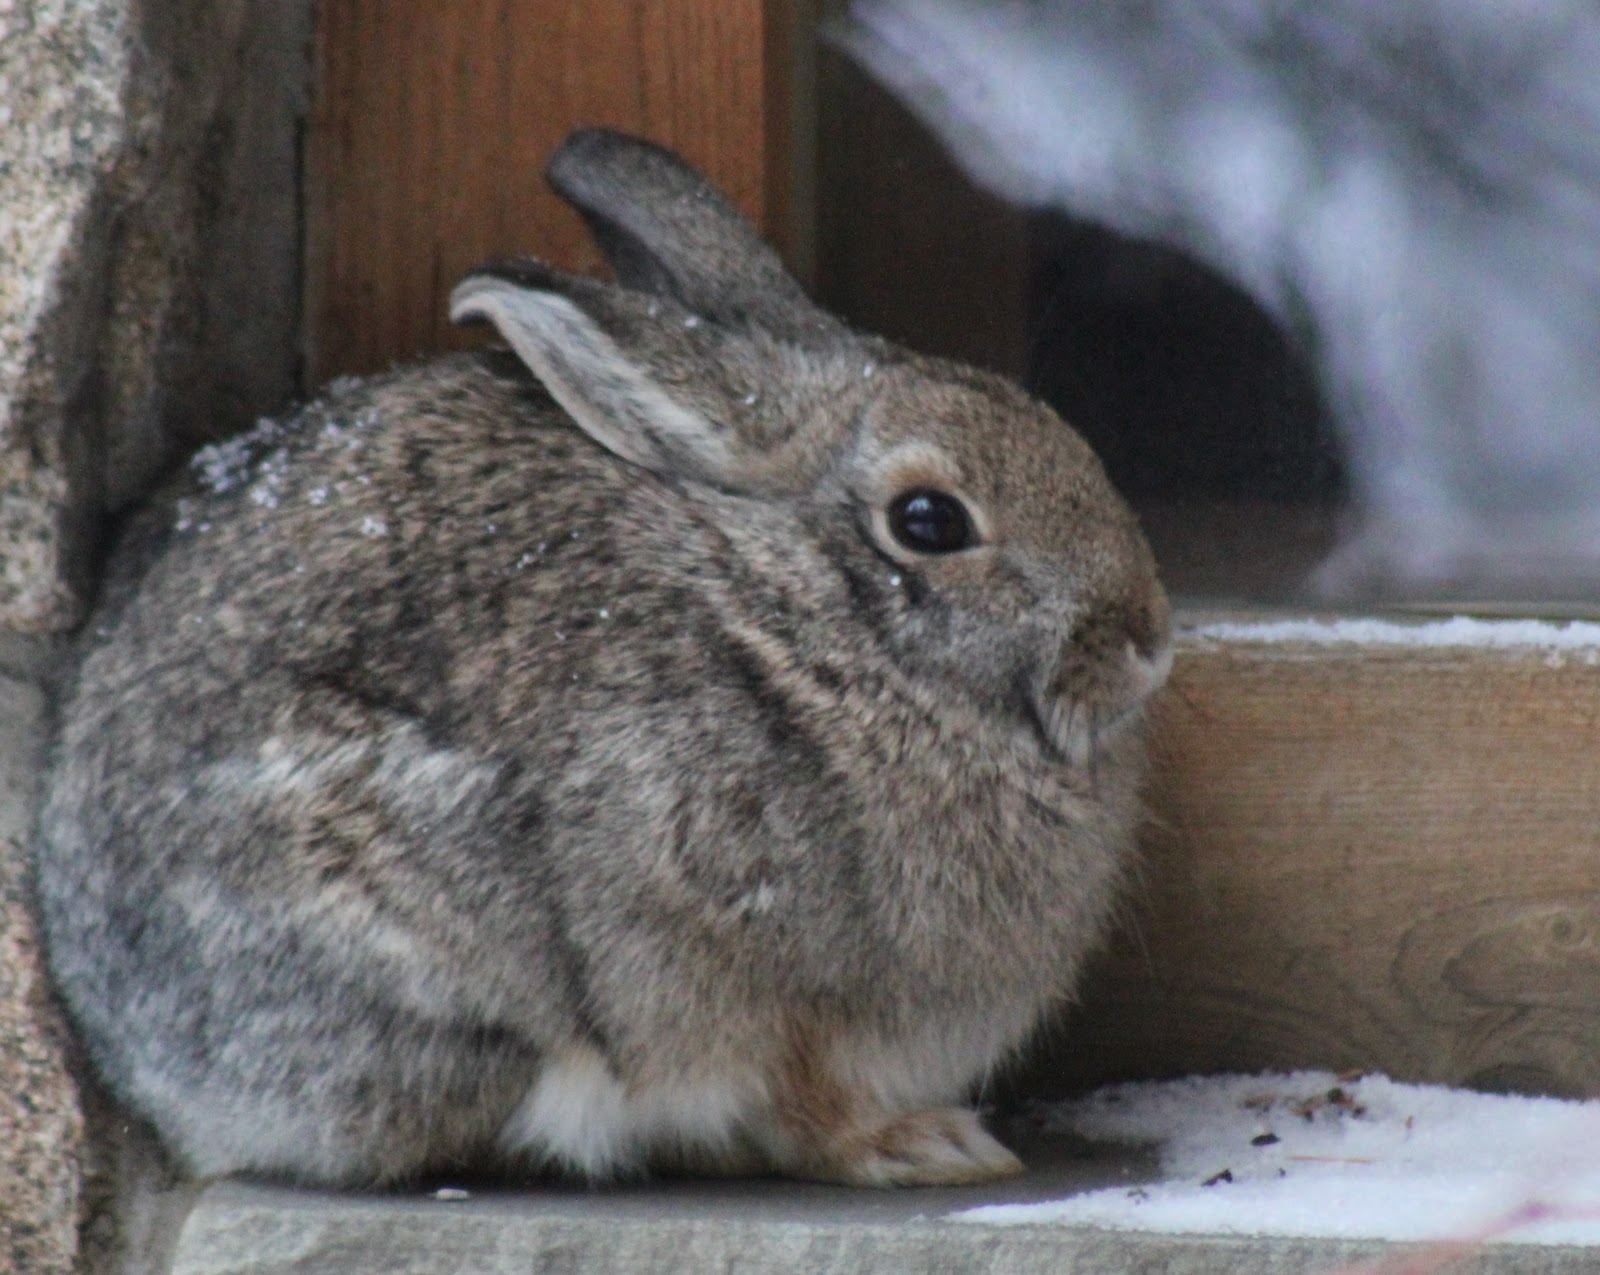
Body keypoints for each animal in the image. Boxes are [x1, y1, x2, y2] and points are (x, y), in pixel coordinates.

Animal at [33, 127, 1172, 1189]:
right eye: (929, 521)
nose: (1149, 637)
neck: (818, 635)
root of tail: (135, 1055)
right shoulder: (751, 976)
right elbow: (802, 1096)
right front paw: (925, 1147)